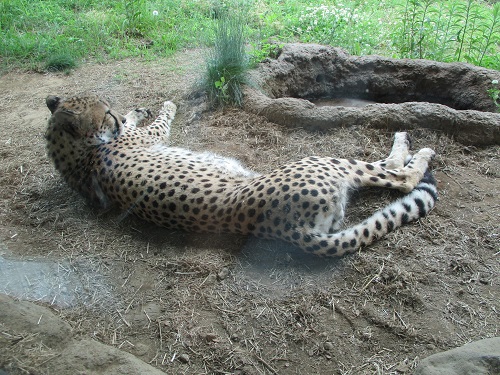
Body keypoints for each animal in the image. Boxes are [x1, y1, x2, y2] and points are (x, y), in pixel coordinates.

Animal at [47, 95, 438, 258]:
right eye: (102, 114)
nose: (111, 118)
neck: (76, 155)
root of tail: (293, 230)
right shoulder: (148, 137)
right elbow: (161, 121)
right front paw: (165, 106)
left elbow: (139, 119)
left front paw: (135, 110)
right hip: (324, 161)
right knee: (398, 176)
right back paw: (415, 150)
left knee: (391, 174)